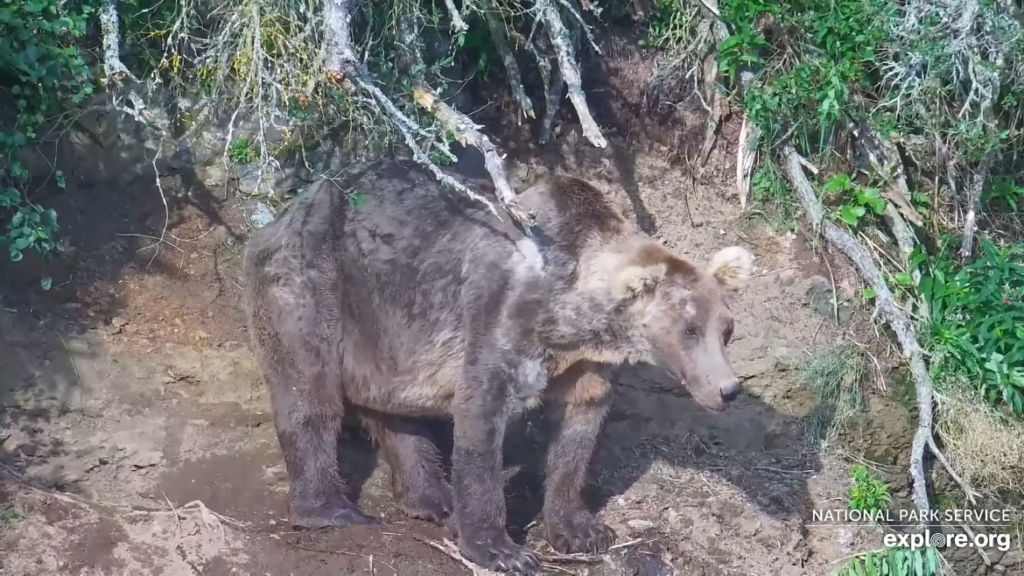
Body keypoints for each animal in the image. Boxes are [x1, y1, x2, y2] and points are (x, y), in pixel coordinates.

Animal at [239, 154, 753, 569]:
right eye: (689, 329)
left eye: (726, 328)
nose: (728, 389)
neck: (569, 316)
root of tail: (284, 213)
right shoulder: (500, 314)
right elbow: (482, 416)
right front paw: (501, 548)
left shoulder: (582, 363)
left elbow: (580, 426)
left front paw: (581, 528)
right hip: (314, 285)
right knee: (310, 391)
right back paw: (333, 510)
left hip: (382, 329)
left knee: (393, 410)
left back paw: (433, 499)